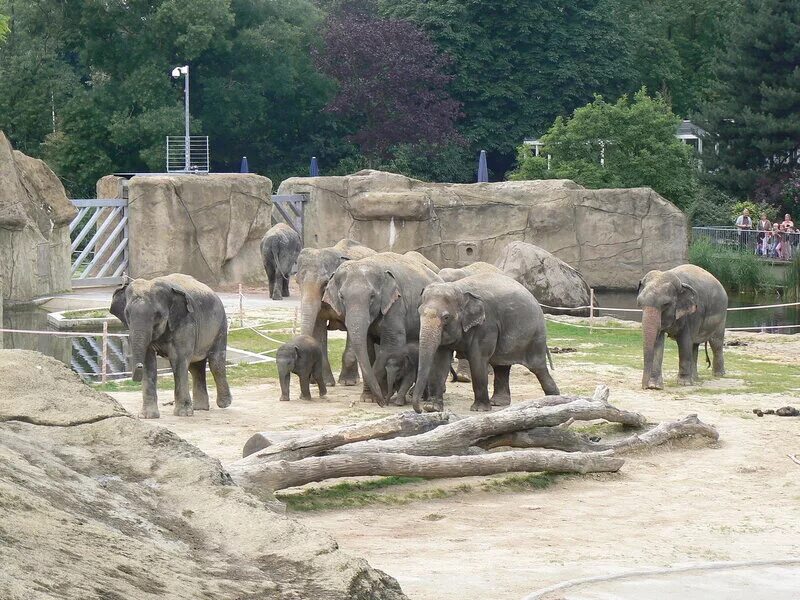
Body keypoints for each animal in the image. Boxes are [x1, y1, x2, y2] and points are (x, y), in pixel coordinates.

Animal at [108, 274, 231, 420]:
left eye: (157, 315)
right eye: (127, 313)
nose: (137, 367)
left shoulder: (185, 322)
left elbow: (178, 360)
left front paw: (183, 414)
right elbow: (149, 362)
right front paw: (147, 416)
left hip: (220, 326)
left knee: (215, 363)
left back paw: (224, 404)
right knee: (196, 367)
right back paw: (200, 408)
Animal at [322, 251, 440, 406]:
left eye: (372, 296)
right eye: (341, 296)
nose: (383, 403)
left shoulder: (396, 305)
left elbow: (390, 346)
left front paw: (382, 395)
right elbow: (367, 349)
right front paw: (368, 399)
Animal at [410, 272, 560, 412]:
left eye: (446, 317)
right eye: (419, 312)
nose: (420, 409)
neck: (459, 288)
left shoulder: (487, 325)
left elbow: (478, 360)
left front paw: (479, 409)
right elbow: (440, 361)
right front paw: (432, 408)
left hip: (535, 335)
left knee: (537, 367)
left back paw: (554, 398)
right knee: (501, 366)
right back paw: (498, 403)